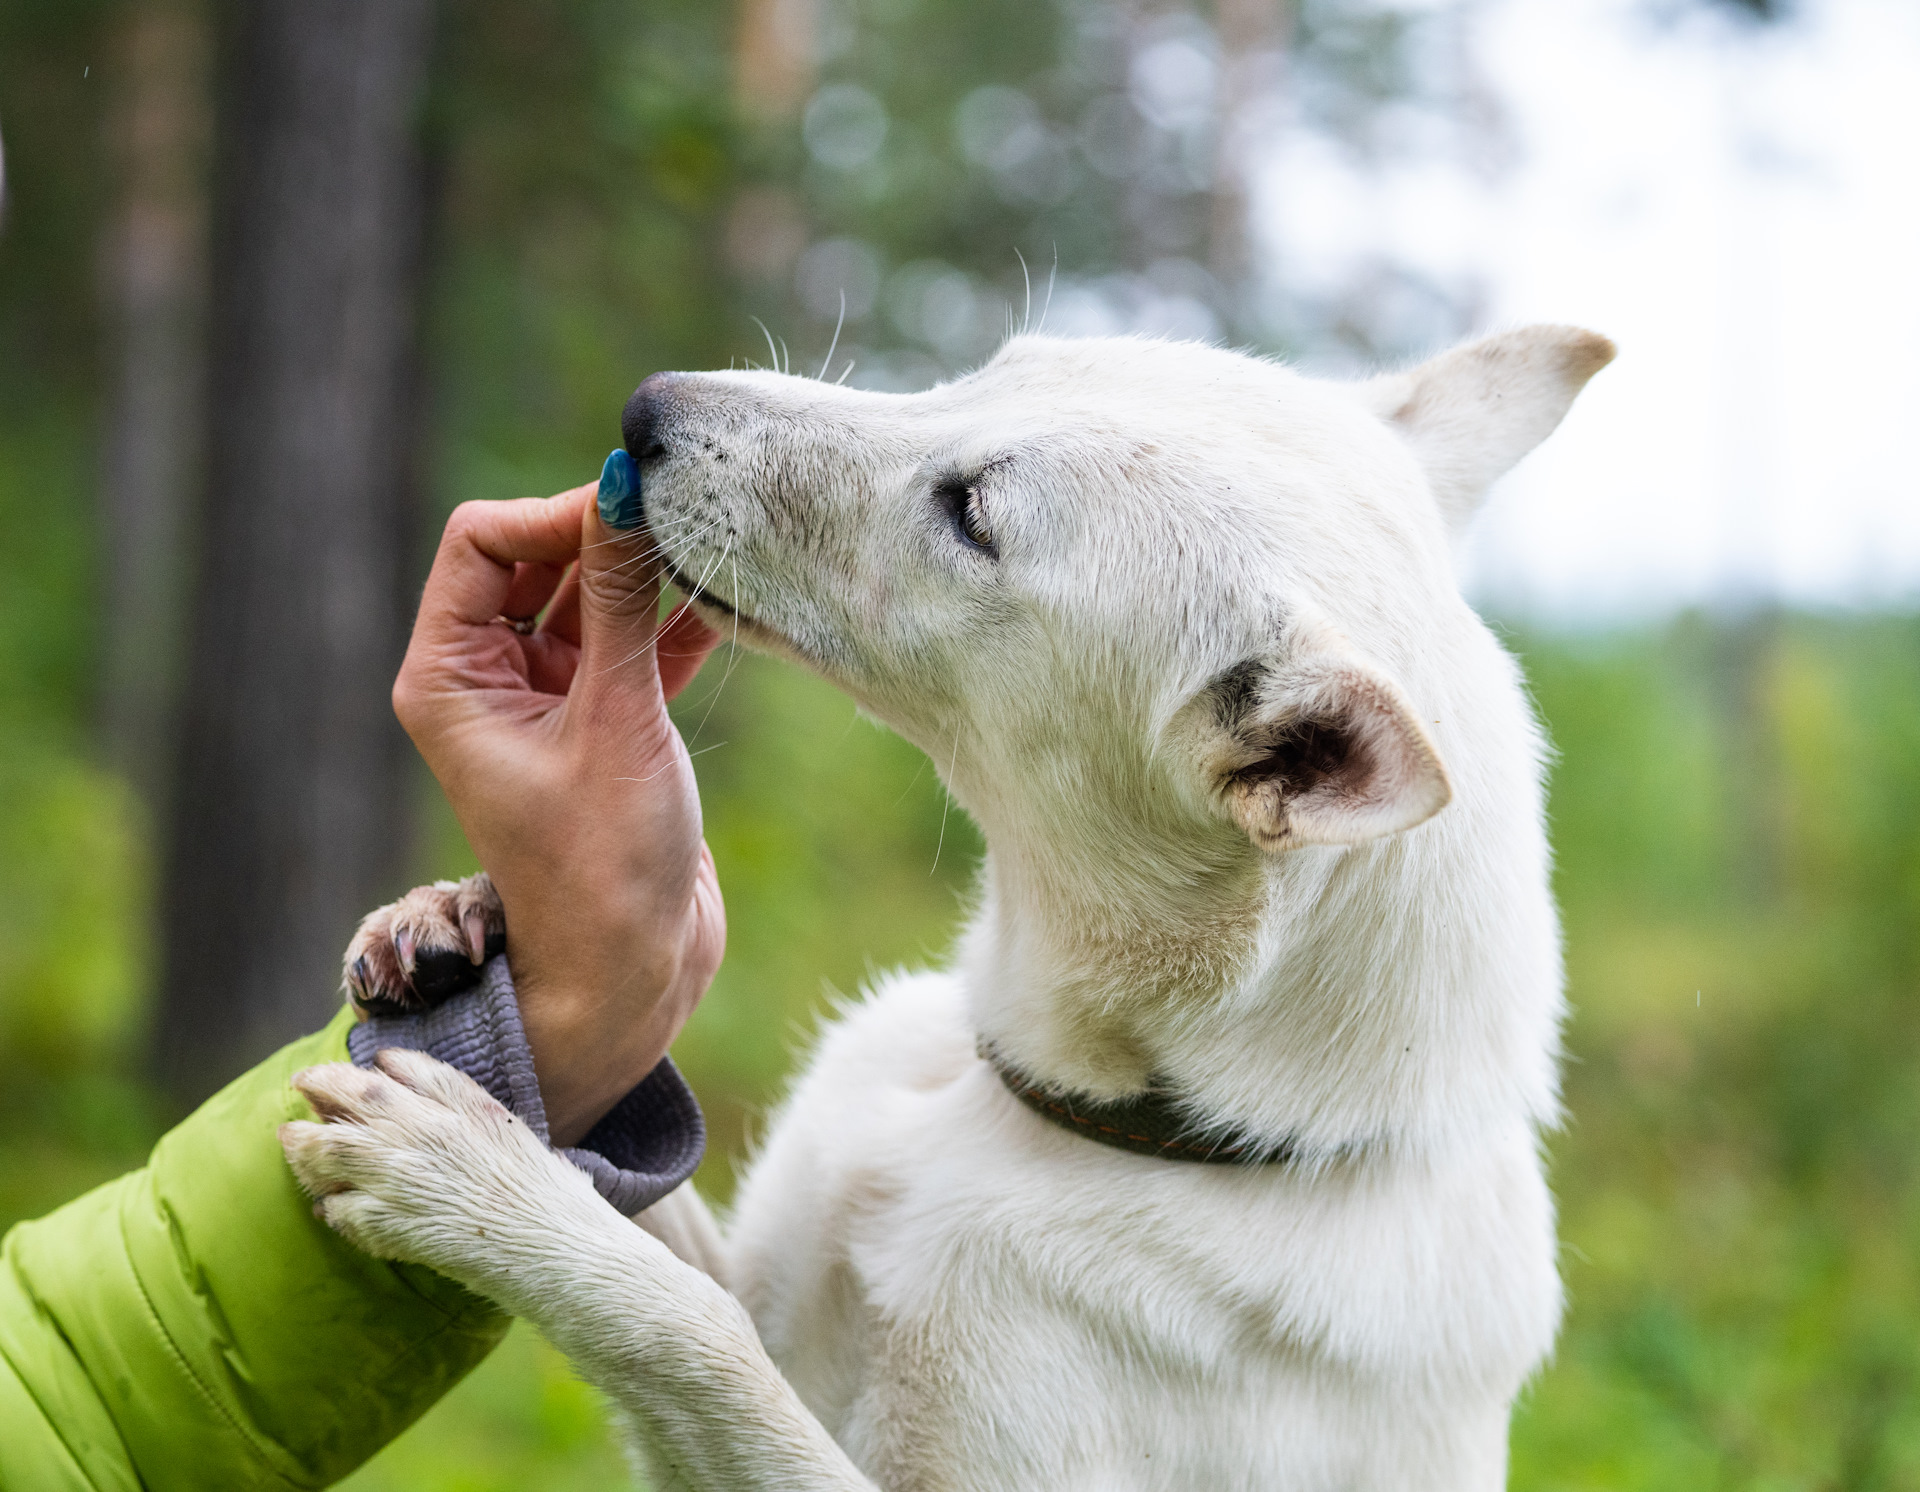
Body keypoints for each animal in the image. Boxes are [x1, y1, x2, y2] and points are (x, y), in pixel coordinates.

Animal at [280, 328, 1605, 1490]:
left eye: (973, 515)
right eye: (998, 363)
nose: (647, 408)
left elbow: (690, 1333)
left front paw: (464, 1180)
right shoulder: (762, 1287)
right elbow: (668, 1244)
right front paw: (454, 917)